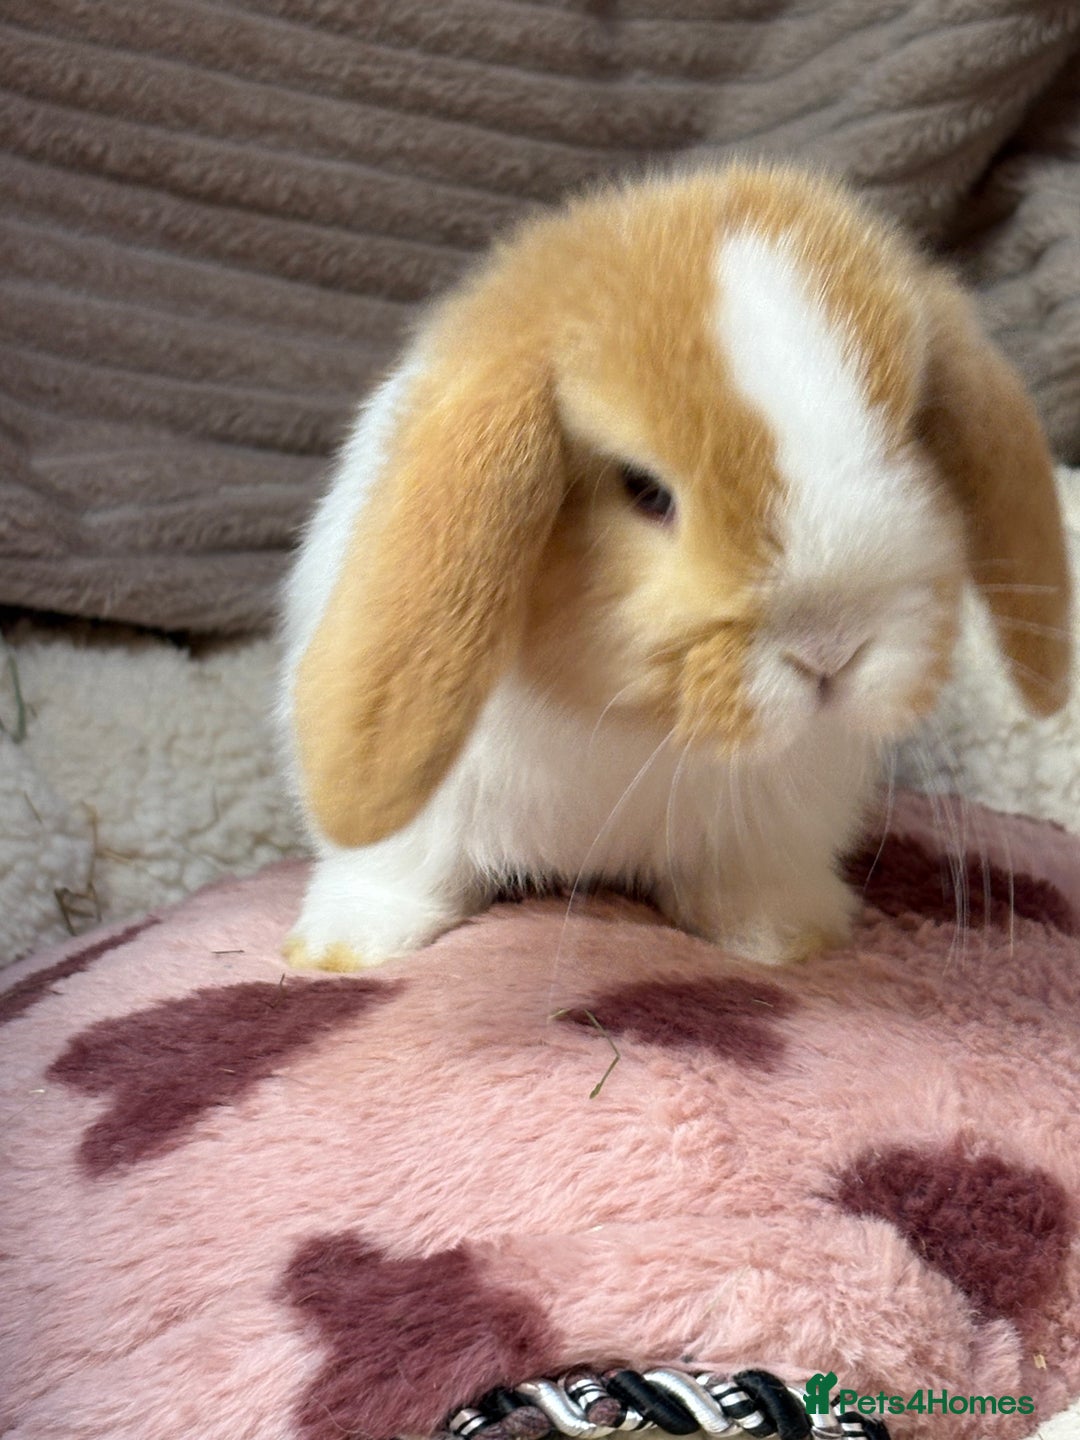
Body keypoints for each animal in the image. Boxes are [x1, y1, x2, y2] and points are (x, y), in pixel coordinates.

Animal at [278, 163, 1071, 973]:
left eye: (911, 436)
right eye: (645, 489)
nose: (831, 651)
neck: (639, 728)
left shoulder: (773, 830)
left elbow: (751, 883)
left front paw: (786, 938)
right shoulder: (430, 821)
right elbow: (403, 871)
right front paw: (340, 949)